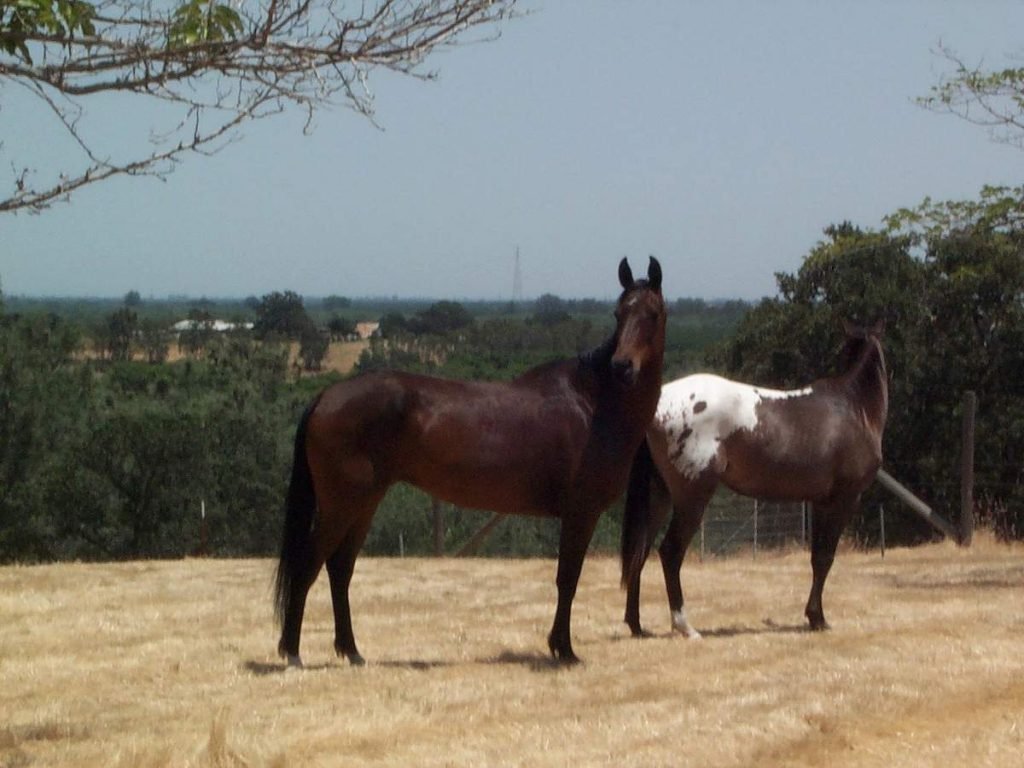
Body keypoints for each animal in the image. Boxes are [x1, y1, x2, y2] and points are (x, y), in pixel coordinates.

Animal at [276, 256, 667, 663]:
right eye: (618, 314)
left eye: (653, 314)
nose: (623, 367)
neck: (592, 404)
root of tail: (326, 396)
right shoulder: (581, 513)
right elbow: (567, 579)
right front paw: (564, 649)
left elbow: (566, 578)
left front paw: (560, 645)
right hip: (341, 506)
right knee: (308, 565)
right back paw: (292, 653)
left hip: (364, 504)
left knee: (340, 568)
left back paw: (351, 651)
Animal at [618, 319, 884, 638]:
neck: (855, 408)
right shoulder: (844, 499)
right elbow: (825, 558)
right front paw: (818, 618)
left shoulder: (820, 502)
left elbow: (817, 557)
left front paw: (813, 616)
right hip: (691, 499)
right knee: (669, 552)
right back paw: (685, 627)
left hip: (659, 497)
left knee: (640, 552)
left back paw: (636, 625)